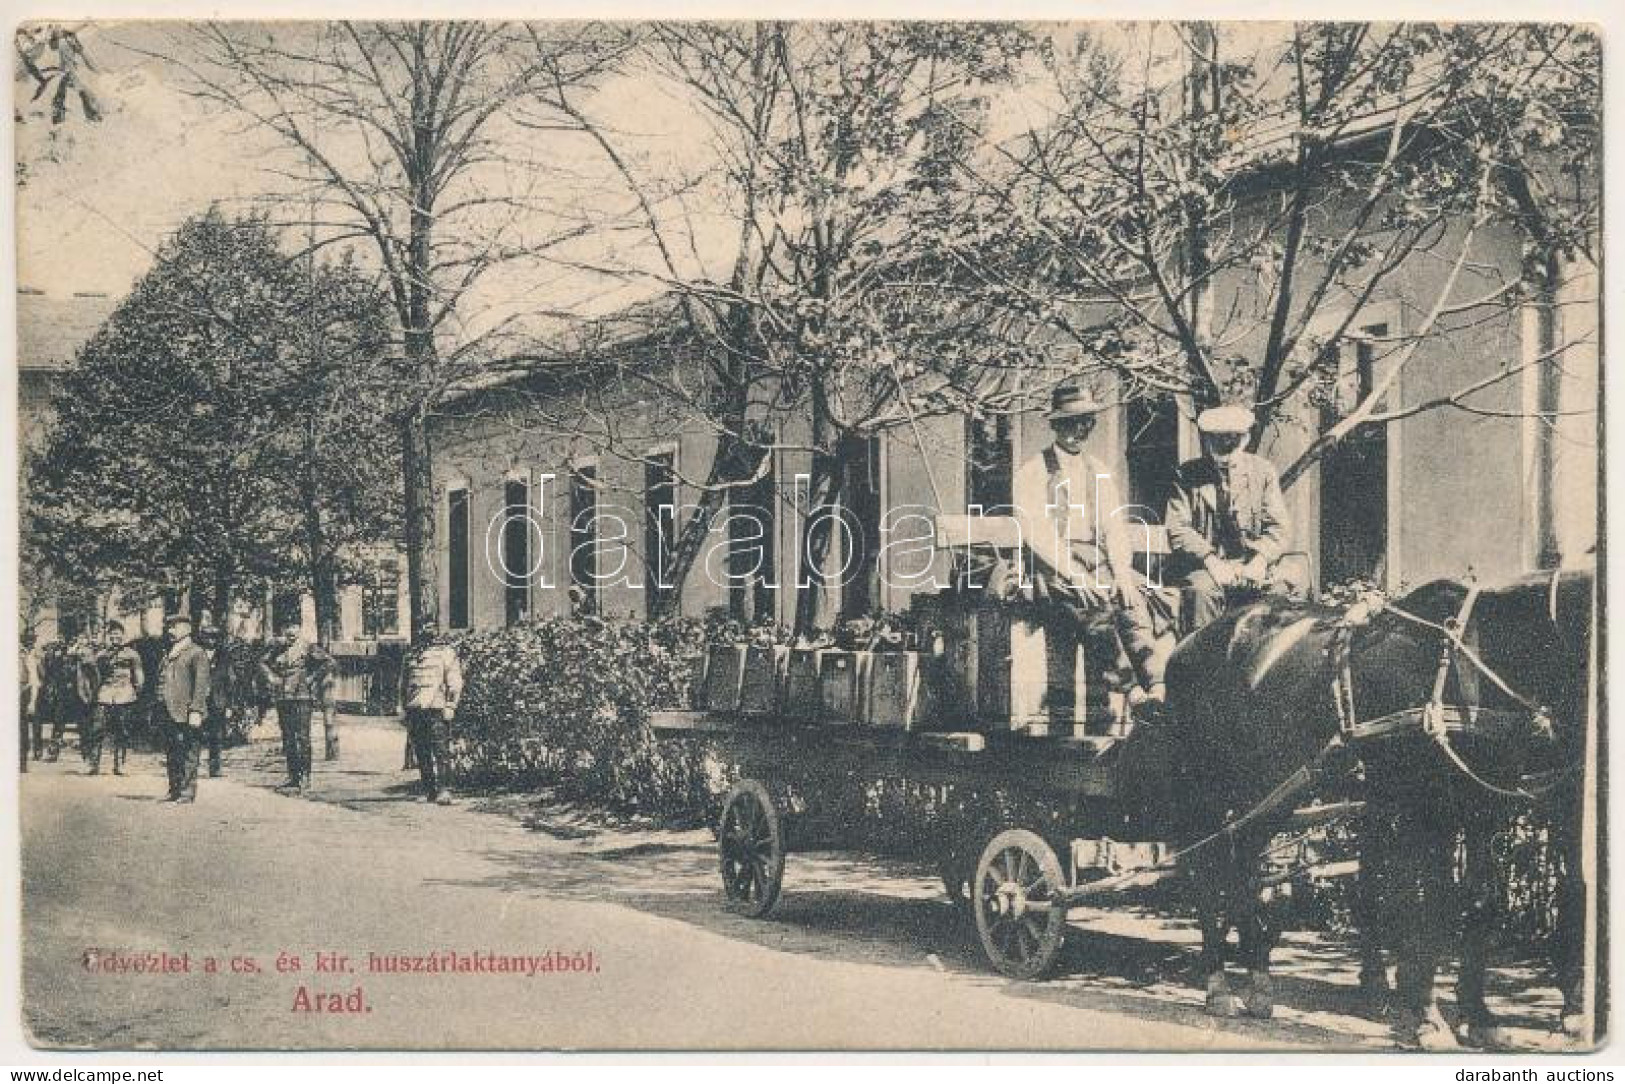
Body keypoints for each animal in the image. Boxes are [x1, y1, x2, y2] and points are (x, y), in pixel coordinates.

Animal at [1163, 568, 1592, 1053]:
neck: (1475, 662)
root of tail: (1188, 644)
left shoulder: (1481, 808)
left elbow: (1481, 901)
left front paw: (1479, 1016)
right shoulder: (1431, 810)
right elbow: (1431, 906)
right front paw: (1428, 1019)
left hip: (1272, 790)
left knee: (1242, 867)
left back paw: (1258, 981)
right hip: (1209, 791)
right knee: (1204, 870)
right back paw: (1218, 985)